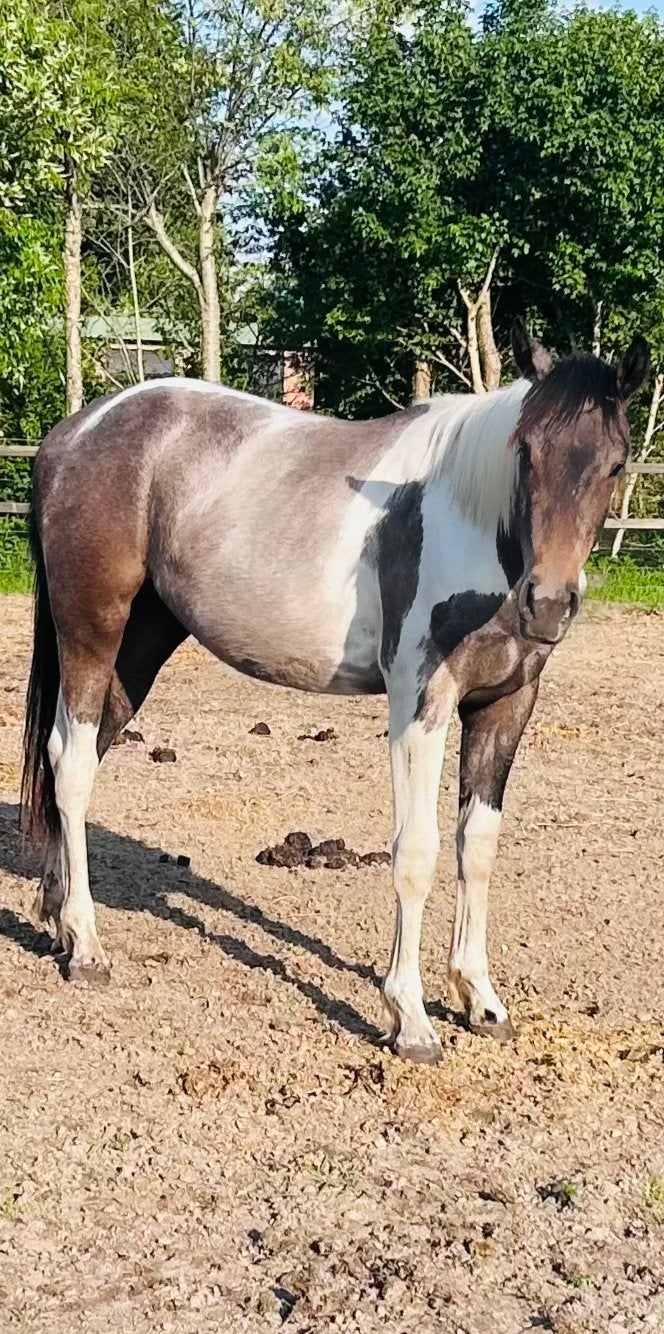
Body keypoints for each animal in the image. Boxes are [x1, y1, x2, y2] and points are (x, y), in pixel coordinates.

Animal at [20, 319, 649, 1063]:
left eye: (615, 463)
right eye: (526, 453)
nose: (547, 604)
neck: (470, 522)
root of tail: (73, 435)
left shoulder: (505, 706)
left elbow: (478, 845)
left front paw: (481, 1000)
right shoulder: (421, 702)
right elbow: (417, 851)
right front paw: (411, 1019)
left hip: (139, 645)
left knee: (79, 756)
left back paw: (58, 920)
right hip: (92, 631)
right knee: (71, 766)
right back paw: (87, 948)